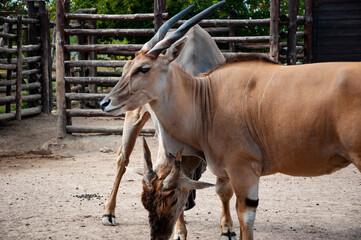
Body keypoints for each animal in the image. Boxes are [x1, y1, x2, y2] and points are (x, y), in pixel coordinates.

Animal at [100, 1, 360, 240]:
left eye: (144, 69)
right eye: (145, 201)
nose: (105, 102)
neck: (205, 98)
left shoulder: (243, 170)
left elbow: (240, 213)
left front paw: (226, 228)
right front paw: (183, 231)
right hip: (135, 117)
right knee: (122, 159)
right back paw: (108, 213)